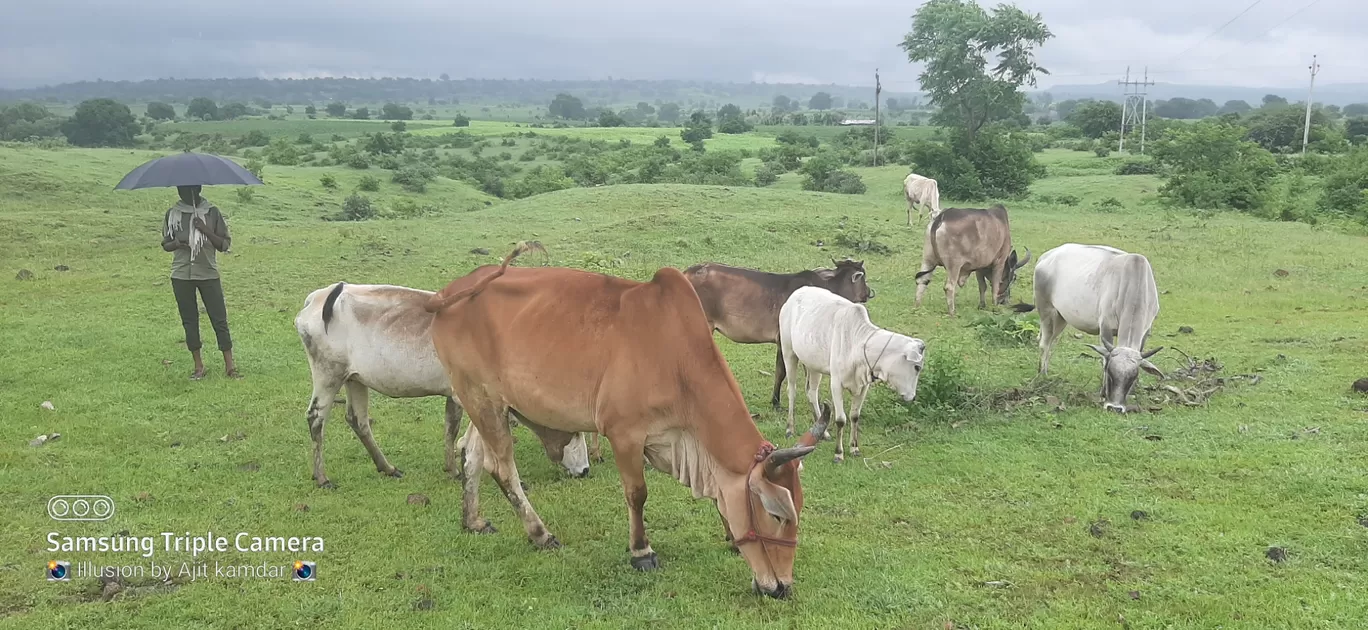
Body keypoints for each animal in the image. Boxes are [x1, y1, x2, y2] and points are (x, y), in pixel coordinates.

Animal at [294, 282, 588, 489]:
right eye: (574, 432)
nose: (585, 470)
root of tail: (322, 296)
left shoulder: (455, 395)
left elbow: (450, 428)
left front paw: (453, 468)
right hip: (328, 375)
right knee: (315, 417)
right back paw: (322, 477)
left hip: (354, 379)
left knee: (358, 420)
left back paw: (387, 467)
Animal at [426, 243, 826, 595]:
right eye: (776, 513)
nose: (783, 588)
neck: (676, 358)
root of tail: (448, 292)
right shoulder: (625, 434)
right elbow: (637, 494)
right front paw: (641, 551)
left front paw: (729, 533)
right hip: (481, 399)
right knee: (503, 468)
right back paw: (540, 534)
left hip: (487, 400)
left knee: (472, 455)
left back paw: (474, 520)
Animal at [689, 255, 870, 418]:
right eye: (863, 277)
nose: (870, 292)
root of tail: (688, 272)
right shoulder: (785, 341)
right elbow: (783, 372)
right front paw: (777, 402)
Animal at [782, 285, 930, 461]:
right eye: (917, 367)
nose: (912, 397)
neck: (857, 343)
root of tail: (797, 292)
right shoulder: (836, 384)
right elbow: (840, 419)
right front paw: (838, 453)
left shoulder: (863, 386)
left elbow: (854, 416)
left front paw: (854, 448)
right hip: (788, 352)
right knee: (792, 390)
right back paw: (790, 428)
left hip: (813, 364)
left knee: (812, 393)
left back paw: (824, 433)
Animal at [1034, 241, 1165, 412]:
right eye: (1109, 372)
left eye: (1133, 376)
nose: (1115, 407)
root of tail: (1046, 256)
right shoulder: (1105, 327)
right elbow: (1103, 357)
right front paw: (1103, 393)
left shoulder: (1146, 332)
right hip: (1046, 310)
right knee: (1044, 344)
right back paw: (1042, 374)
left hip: (1061, 318)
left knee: (1050, 343)